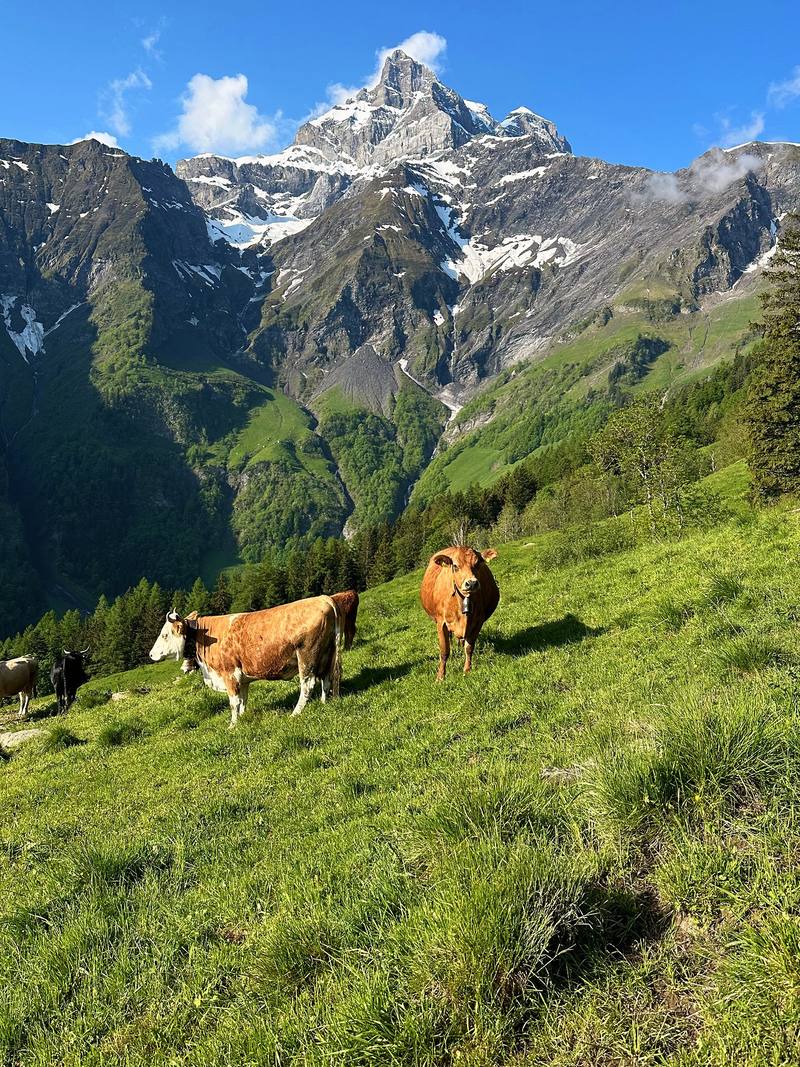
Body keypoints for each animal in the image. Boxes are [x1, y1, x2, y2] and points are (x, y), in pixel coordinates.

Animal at [149, 595, 344, 727]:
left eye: (164, 635)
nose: (151, 655)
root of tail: (323, 598)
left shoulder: (230, 674)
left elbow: (233, 702)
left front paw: (233, 725)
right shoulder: (242, 679)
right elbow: (243, 700)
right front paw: (242, 719)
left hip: (307, 656)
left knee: (307, 685)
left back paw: (295, 713)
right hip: (326, 655)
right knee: (327, 679)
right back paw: (324, 703)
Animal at [419, 546, 499, 680]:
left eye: (478, 563)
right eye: (455, 566)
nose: (471, 583)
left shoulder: (478, 622)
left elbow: (469, 648)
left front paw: (467, 670)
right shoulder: (441, 623)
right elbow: (444, 651)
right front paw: (440, 676)